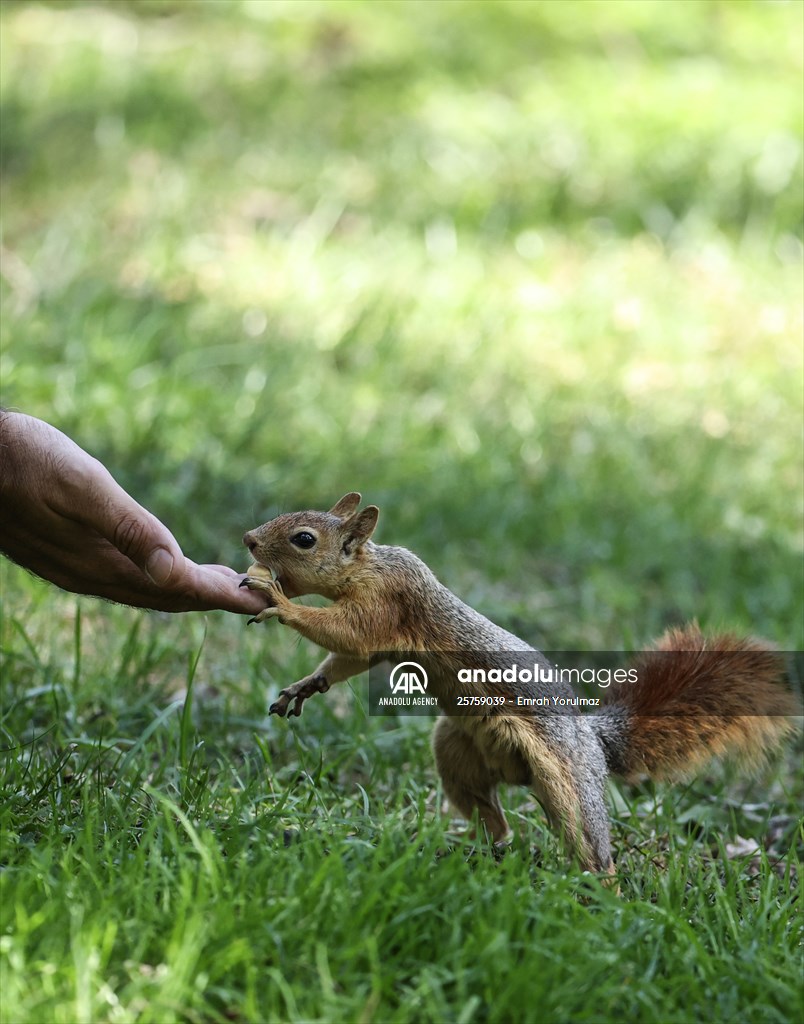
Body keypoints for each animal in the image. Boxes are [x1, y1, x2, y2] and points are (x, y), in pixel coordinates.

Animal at [240, 492, 800, 877]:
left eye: (304, 538)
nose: (248, 540)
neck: (368, 566)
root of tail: (594, 741)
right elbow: (348, 657)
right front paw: (306, 685)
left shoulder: (386, 603)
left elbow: (347, 633)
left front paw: (279, 602)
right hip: (458, 752)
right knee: (494, 814)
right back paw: (482, 849)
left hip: (568, 780)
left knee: (589, 840)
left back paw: (600, 890)